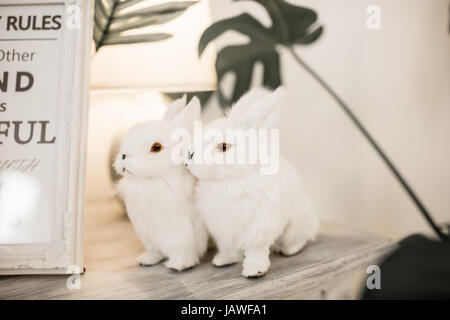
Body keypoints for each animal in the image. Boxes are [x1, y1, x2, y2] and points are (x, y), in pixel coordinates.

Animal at [115, 95, 208, 270]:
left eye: (156, 147)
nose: (123, 156)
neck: (154, 182)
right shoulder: (148, 235)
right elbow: (155, 251)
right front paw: (146, 259)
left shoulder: (182, 234)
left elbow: (183, 251)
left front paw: (179, 265)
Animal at [186, 87, 320, 278]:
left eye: (223, 147)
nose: (189, 155)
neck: (231, 180)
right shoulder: (224, 229)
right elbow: (229, 248)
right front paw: (223, 260)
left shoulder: (259, 228)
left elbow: (256, 251)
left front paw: (254, 271)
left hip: (297, 223)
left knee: (300, 239)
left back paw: (288, 250)